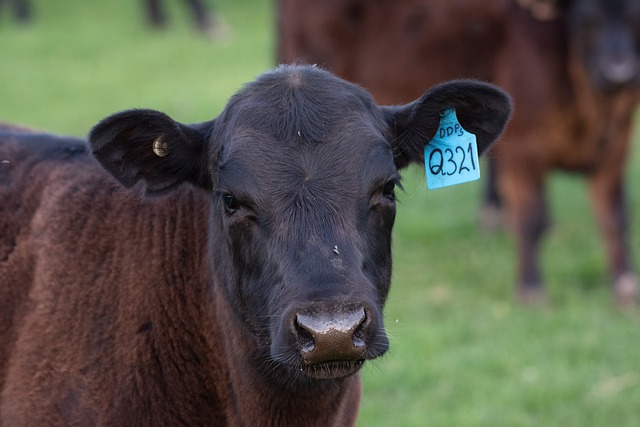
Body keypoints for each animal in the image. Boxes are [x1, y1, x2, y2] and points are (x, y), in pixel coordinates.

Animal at [278, 0, 640, 304]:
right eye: (585, 20)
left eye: (634, 17)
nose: (619, 72)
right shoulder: (525, 147)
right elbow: (532, 217)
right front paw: (532, 289)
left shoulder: (617, 143)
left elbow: (615, 215)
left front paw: (624, 286)